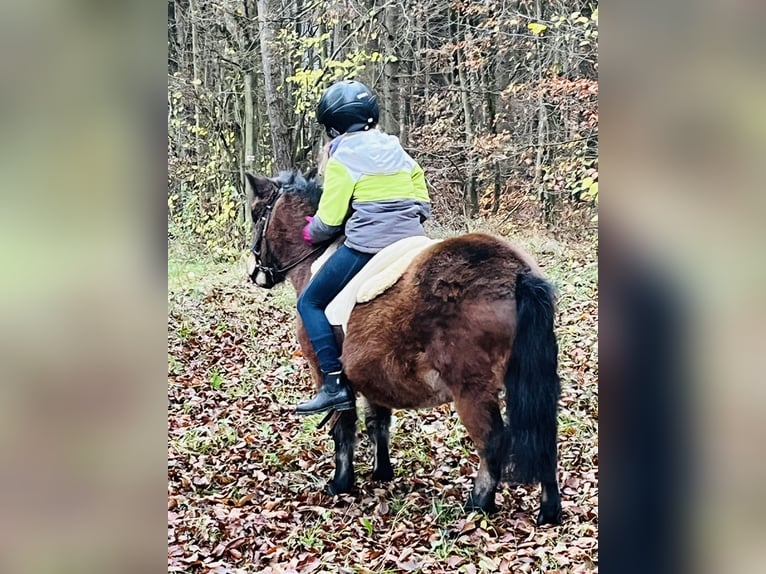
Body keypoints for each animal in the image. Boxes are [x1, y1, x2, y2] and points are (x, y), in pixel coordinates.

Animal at [246, 171, 564, 528]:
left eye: (258, 214)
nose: (255, 272)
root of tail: (516, 274)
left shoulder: (329, 374)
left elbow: (344, 426)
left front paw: (340, 483)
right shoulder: (371, 375)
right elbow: (378, 423)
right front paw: (381, 472)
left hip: (471, 389)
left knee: (492, 440)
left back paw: (479, 502)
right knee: (543, 435)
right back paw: (549, 509)